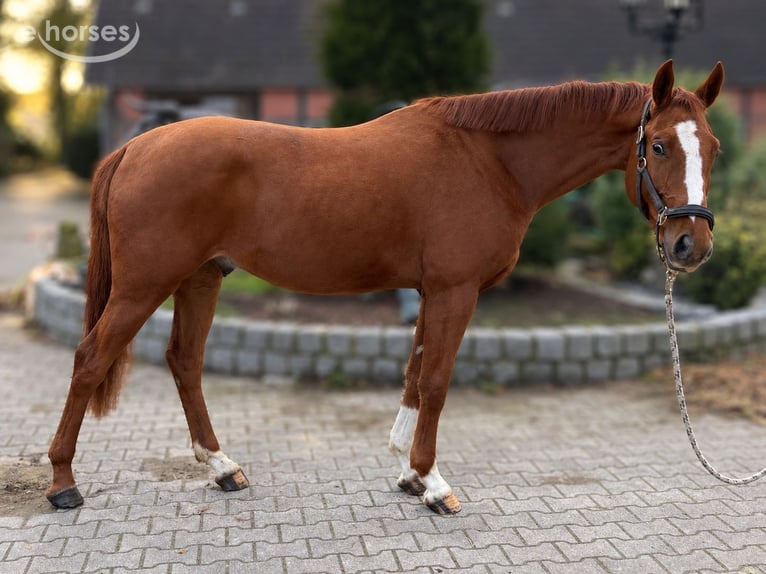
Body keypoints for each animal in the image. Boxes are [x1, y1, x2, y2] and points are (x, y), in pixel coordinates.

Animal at [46, 59, 724, 514]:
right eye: (659, 145)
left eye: (713, 148)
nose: (690, 247)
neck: (490, 160)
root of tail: (136, 146)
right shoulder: (455, 290)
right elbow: (437, 382)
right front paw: (435, 484)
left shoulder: (430, 291)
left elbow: (414, 375)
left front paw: (408, 474)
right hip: (144, 286)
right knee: (90, 358)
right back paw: (63, 483)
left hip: (200, 278)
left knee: (184, 362)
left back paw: (223, 468)